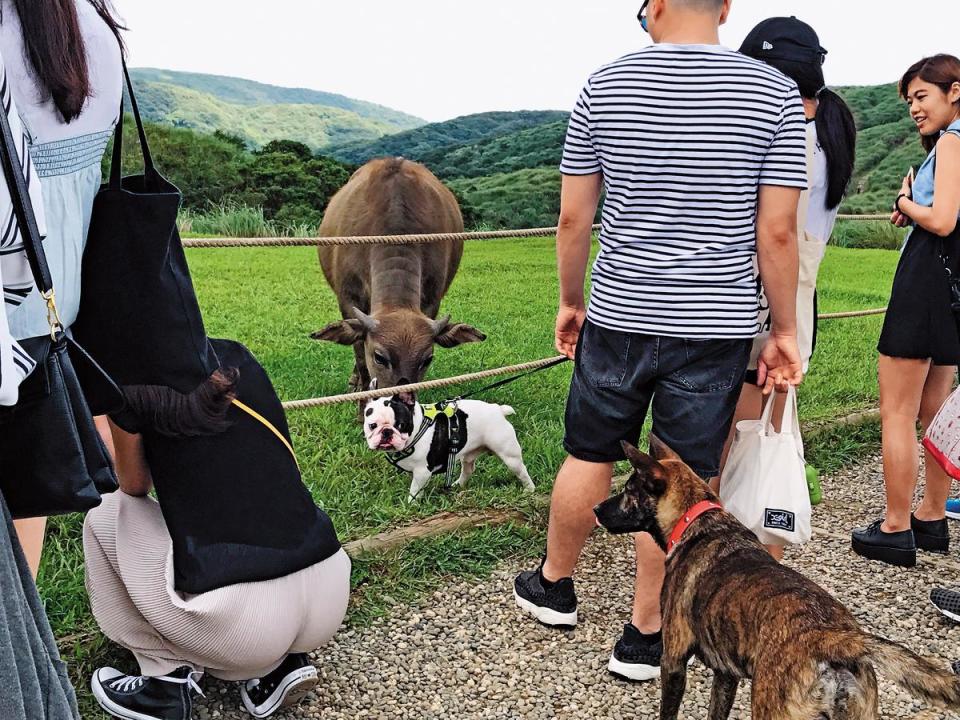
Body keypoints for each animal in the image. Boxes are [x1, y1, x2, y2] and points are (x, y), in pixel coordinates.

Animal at [312, 157, 484, 400]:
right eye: (379, 357)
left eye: (427, 359)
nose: (401, 398)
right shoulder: (348, 298)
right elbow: (359, 353)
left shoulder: (431, 299)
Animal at [592, 436, 960, 716]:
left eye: (629, 490)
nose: (596, 509)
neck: (697, 520)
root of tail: (836, 639)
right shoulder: (725, 674)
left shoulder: (674, 660)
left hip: (772, 707)